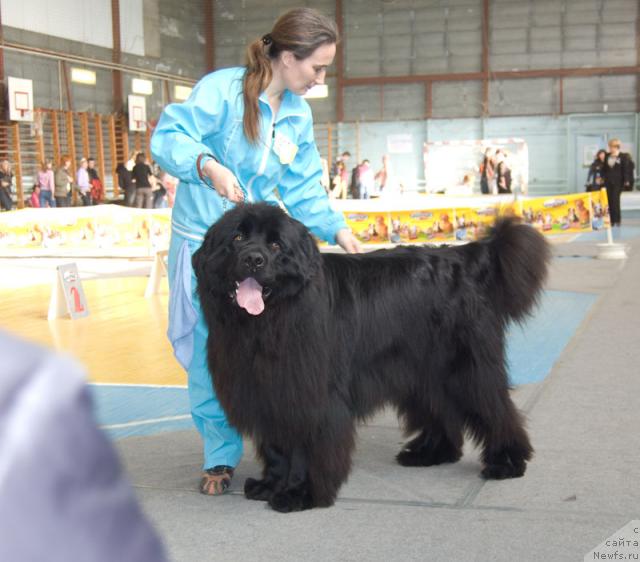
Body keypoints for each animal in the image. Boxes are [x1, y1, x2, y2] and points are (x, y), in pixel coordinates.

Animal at [191, 202, 552, 512]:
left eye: (277, 245)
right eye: (237, 238)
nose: (254, 259)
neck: (270, 320)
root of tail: (463, 256)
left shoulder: (310, 397)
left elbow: (305, 448)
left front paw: (299, 493)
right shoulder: (267, 393)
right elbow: (276, 448)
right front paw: (269, 485)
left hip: (466, 367)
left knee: (495, 408)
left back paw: (506, 462)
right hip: (422, 368)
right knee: (441, 407)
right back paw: (431, 452)